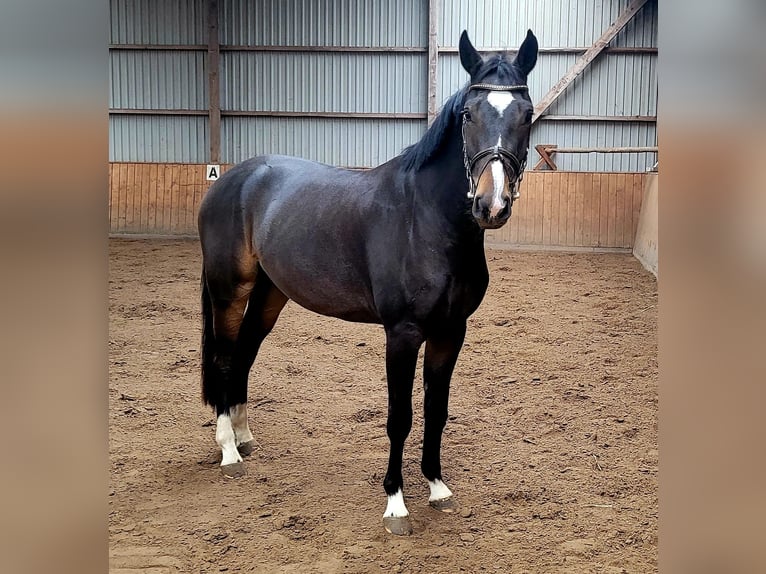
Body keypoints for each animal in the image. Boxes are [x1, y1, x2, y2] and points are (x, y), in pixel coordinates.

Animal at [197, 29, 538, 536]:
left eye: (526, 114)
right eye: (468, 114)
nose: (491, 205)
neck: (426, 220)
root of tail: (231, 179)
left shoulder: (451, 331)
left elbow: (436, 411)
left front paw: (437, 488)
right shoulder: (402, 333)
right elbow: (400, 416)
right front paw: (396, 503)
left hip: (270, 292)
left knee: (245, 353)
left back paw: (243, 436)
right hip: (229, 289)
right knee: (223, 356)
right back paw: (228, 451)